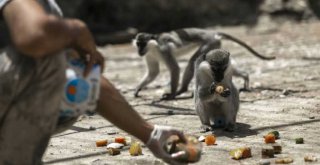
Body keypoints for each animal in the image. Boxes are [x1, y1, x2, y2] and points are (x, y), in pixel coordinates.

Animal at [132, 28, 276, 100]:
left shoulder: (163, 49)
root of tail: (212, 33)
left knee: (192, 62)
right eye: (138, 44)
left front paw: (171, 95)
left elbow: (174, 68)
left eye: (142, 44)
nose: (139, 51)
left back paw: (181, 90)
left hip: (210, 42)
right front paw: (137, 89)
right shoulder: (149, 55)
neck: (153, 47)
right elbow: (153, 72)